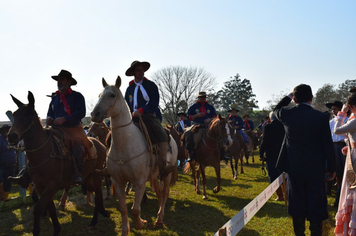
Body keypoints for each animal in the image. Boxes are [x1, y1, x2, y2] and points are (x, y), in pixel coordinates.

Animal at [7, 91, 109, 236]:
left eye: (28, 114)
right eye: (15, 114)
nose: (11, 136)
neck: (44, 153)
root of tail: (100, 144)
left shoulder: (52, 186)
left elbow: (37, 208)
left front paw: (37, 231)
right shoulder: (40, 187)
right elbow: (50, 207)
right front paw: (56, 229)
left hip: (96, 176)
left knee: (98, 195)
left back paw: (95, 220)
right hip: (88, 177)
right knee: (96, 195)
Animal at [90, 76, 177, 235]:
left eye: (112, 95)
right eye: (99, 95)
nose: (95, 115)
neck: (124, 146)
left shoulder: (140, 182)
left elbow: (135, 210)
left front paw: (142, 224)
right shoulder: (118, 182)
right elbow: (123, 208)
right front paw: (126, 230)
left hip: (166, 174)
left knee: (165, 193)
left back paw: (159, 219)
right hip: (154, 176)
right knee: (159, 193)